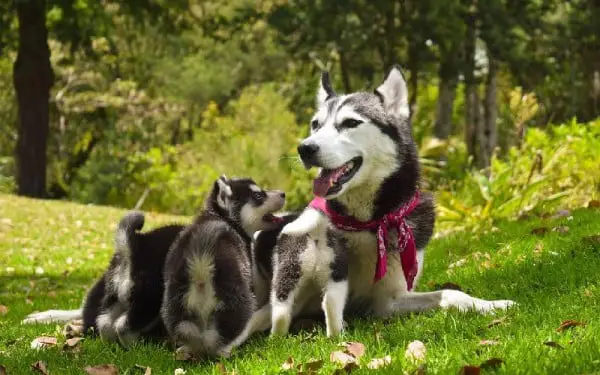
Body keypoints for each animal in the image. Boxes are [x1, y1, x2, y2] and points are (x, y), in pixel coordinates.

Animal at [83, 213, 184, 348]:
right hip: (149, 300)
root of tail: (134, 249)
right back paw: (137, 347)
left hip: (116, 295)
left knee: (104, 322)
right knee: (124, 327)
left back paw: (111, 345)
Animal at [162, 176, 286, 358]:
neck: (222, 217)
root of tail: (201, 265)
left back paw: (187, 350)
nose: (283, 193)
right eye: (258, 195)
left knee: (187, 330)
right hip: (240, 301)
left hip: (176, 305)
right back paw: (225, 350)